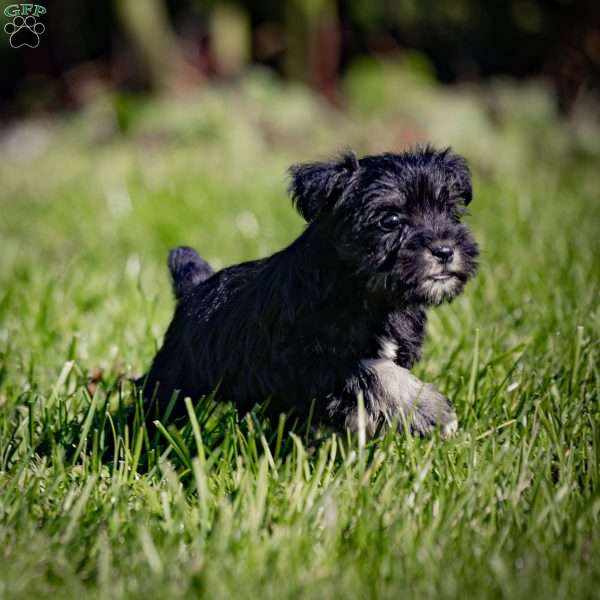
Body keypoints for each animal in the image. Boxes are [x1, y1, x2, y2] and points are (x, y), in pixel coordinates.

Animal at [142, 146, 478, 436]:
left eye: (450, 212)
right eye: (391, 220)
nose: (445, 250)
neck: (368, 293)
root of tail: (194, 289)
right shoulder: (311, 363)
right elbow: (377, 371)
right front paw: (431, 410)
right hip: (176, 379)